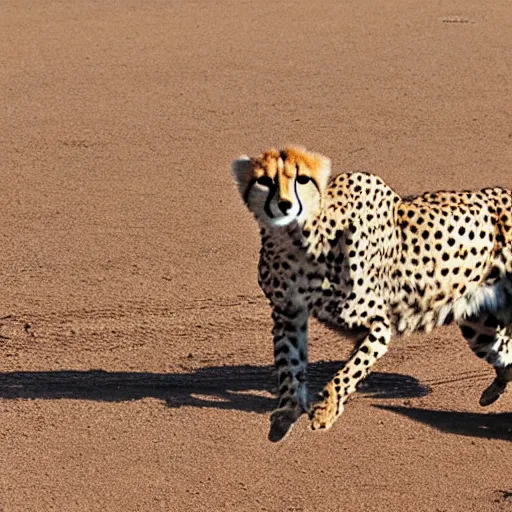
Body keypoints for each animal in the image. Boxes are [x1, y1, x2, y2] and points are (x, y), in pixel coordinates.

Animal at [232, 146, 512, 442]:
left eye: (301, 180)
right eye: (266, 181)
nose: (284, 205)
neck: (300, 240)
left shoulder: (377, 325)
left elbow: (348, 372)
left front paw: (325, 411)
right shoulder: (288, 315)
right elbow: (289, 367)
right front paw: (286, 414)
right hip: (479, 328)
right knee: (506, 355)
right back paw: (491, 392)